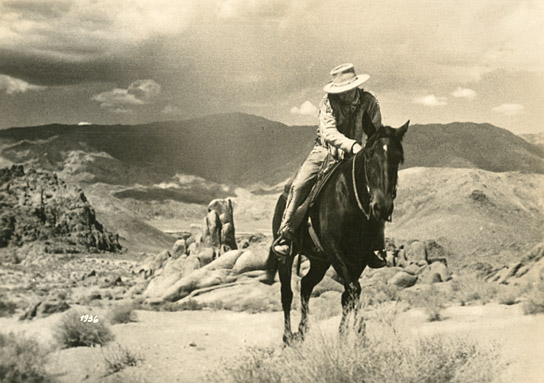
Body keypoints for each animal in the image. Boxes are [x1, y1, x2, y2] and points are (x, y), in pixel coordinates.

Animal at [264, 115, 408, 344]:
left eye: (398, 158)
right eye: (369, 155)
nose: (382, 206)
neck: (350, 201)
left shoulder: (360, 257)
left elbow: (348, 294)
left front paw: (344, 337)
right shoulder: (335, 251)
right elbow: (354, 289)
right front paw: (361, 336)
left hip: (319, 261)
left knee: (306, 285)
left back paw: (302, 330)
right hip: (287, 257)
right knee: (287, 293)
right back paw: (288, 337)